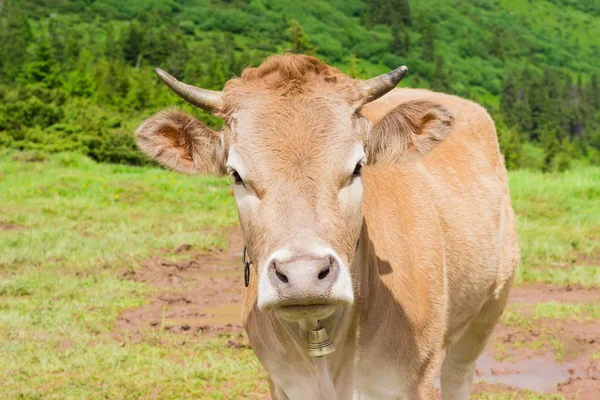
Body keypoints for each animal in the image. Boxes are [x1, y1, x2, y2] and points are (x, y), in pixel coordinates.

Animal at [136, 54, 520, 400]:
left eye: (357, 167)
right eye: (236, 175)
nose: (303, 276)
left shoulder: (412, 380)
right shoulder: (283, 383)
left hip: (489, 307)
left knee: (458, 371)